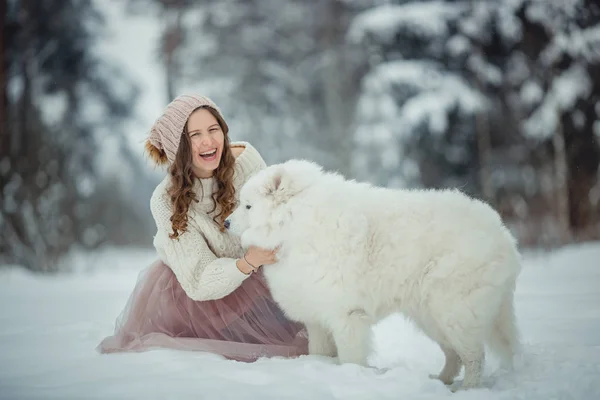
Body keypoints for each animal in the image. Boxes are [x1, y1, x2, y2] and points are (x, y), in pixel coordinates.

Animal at [226, 159, 520, 390]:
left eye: (248, 206)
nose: (227, 223)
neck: (295, 223)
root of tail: (502, 233)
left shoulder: (347, 316)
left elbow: (350, 357)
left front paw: (350, 377)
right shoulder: (316, 317)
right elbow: (318, 351)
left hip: (453, 311)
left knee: (474, 356)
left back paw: (468, 389)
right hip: (432, 316)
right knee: (454, 355)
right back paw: (441, 381)